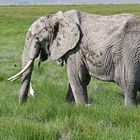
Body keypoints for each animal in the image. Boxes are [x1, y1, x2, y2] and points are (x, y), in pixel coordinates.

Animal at [8, 10, 140, 105]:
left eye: (36, 37)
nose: (23, 104)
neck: (58, 17)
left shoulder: (76, 49)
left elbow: (76, 77)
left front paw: (82, 106)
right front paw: (68, 104)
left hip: (130, 52)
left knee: (128, 83)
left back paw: (129, 108)